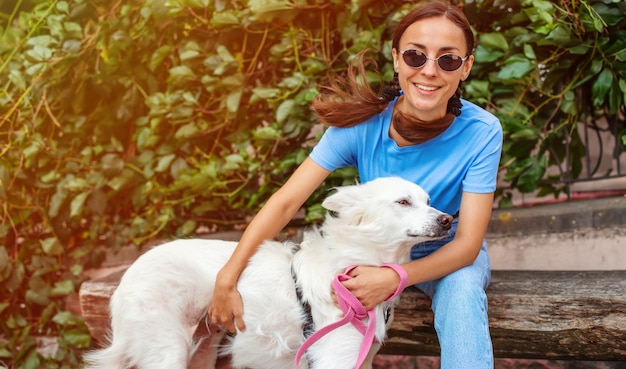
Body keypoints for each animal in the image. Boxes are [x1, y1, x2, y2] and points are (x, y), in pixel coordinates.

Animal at [84, 176, 454, 368]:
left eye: (428, 200)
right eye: (403, 202)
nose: (448, 219)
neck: (355, 261)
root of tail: (128, 274)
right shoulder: (336, 356)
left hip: (201, 349)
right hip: (168, 350)